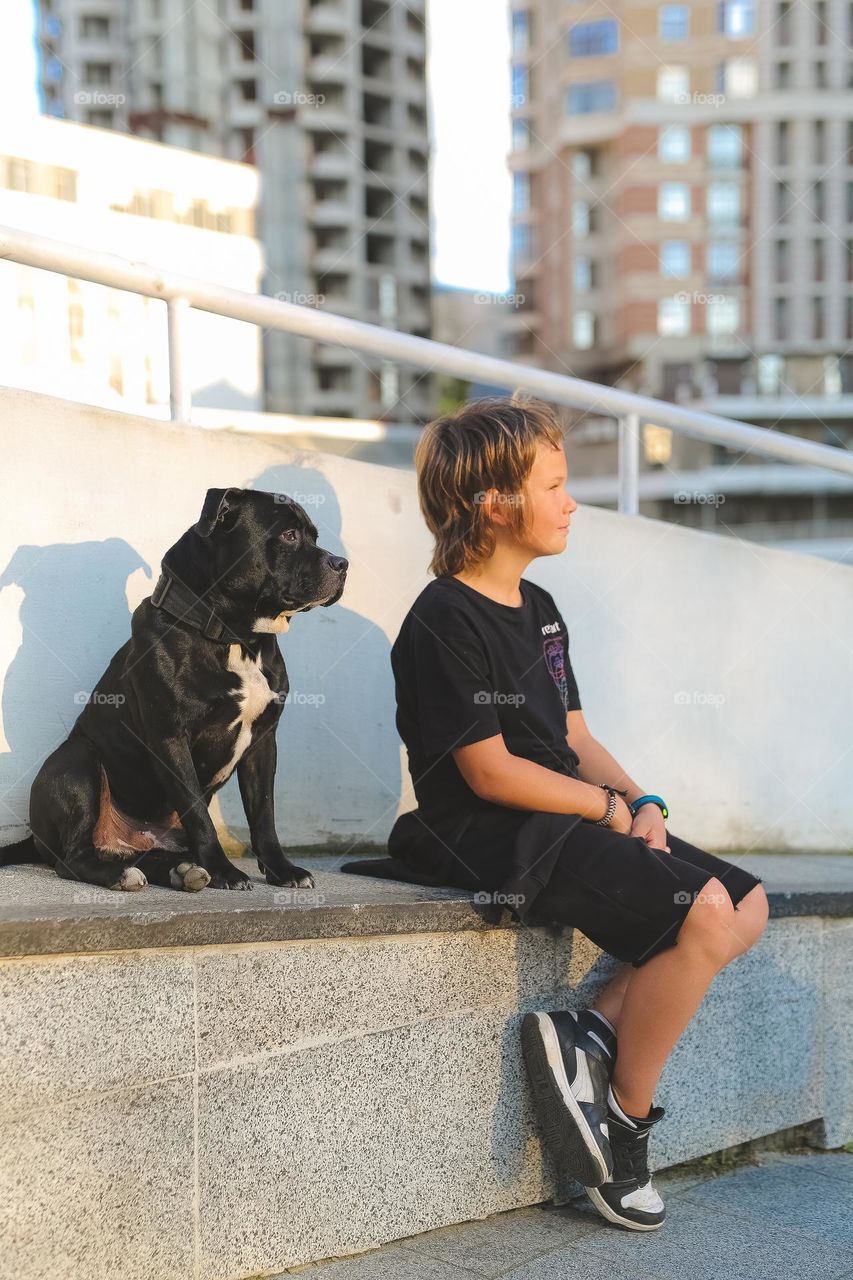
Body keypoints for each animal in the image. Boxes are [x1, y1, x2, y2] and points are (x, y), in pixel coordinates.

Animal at [0, 483, 345, 896]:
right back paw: (124, 875)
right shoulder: (171, 738)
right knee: (74, 858)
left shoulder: (263, 743)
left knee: (144, 853)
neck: (235, 635)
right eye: (289, 535)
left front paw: (282, 870)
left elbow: (264, 815)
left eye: (314, 537)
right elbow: (199, 813)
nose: (342, 563)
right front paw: (225, 871)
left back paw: (180, 871)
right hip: (76, 762)